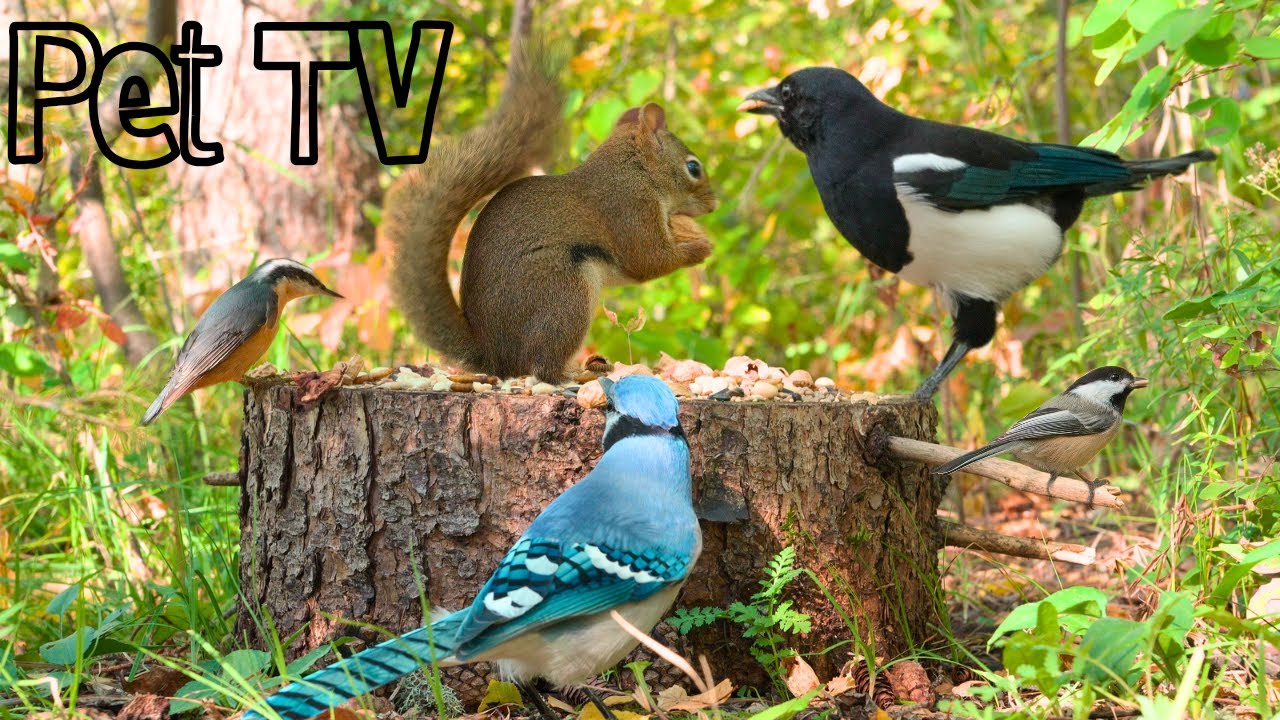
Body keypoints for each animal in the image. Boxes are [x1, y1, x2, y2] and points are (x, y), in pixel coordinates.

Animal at [383, 39, 717, 382]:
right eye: (693, 167)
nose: (713, 203)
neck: (636, 169)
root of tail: (494, 356)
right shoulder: (630, 207)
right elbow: (650, 260)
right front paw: (700, 249)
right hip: (565, 295)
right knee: (542, 365)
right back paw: (573, 375)